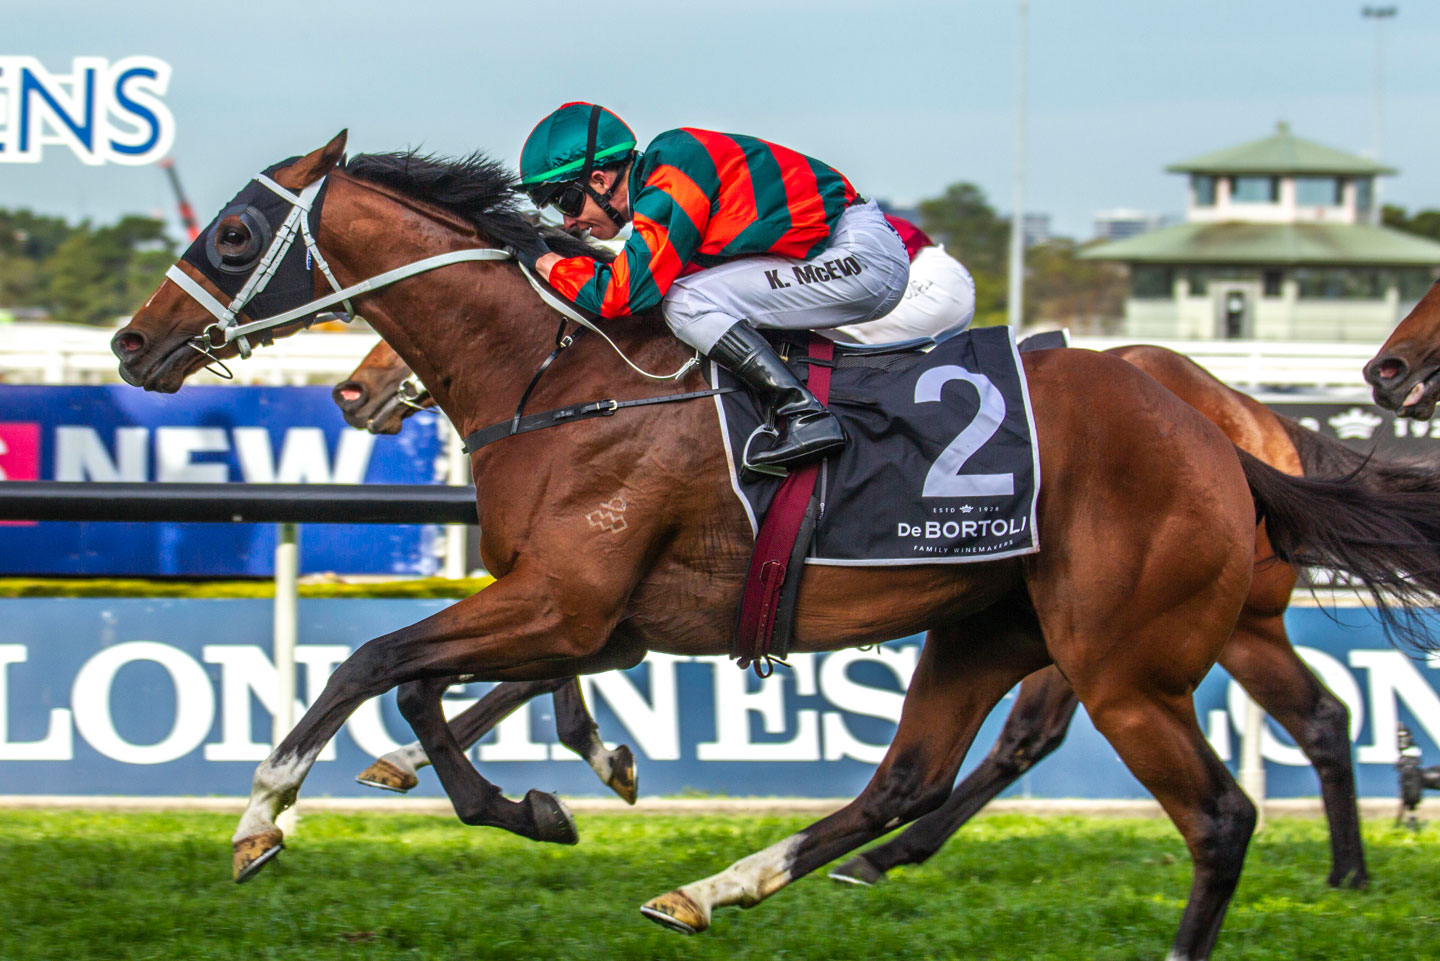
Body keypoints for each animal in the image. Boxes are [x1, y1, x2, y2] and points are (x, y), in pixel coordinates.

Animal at [338, 338, 1374, 891]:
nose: (354, 387)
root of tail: (1238, 422)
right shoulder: (616, 599)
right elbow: (534, 670)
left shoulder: (611, 586)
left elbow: (527, 667)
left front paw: (582, 756)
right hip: (1188, 625)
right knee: (1320, 713)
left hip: (1118, 632)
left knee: (1041, 739)